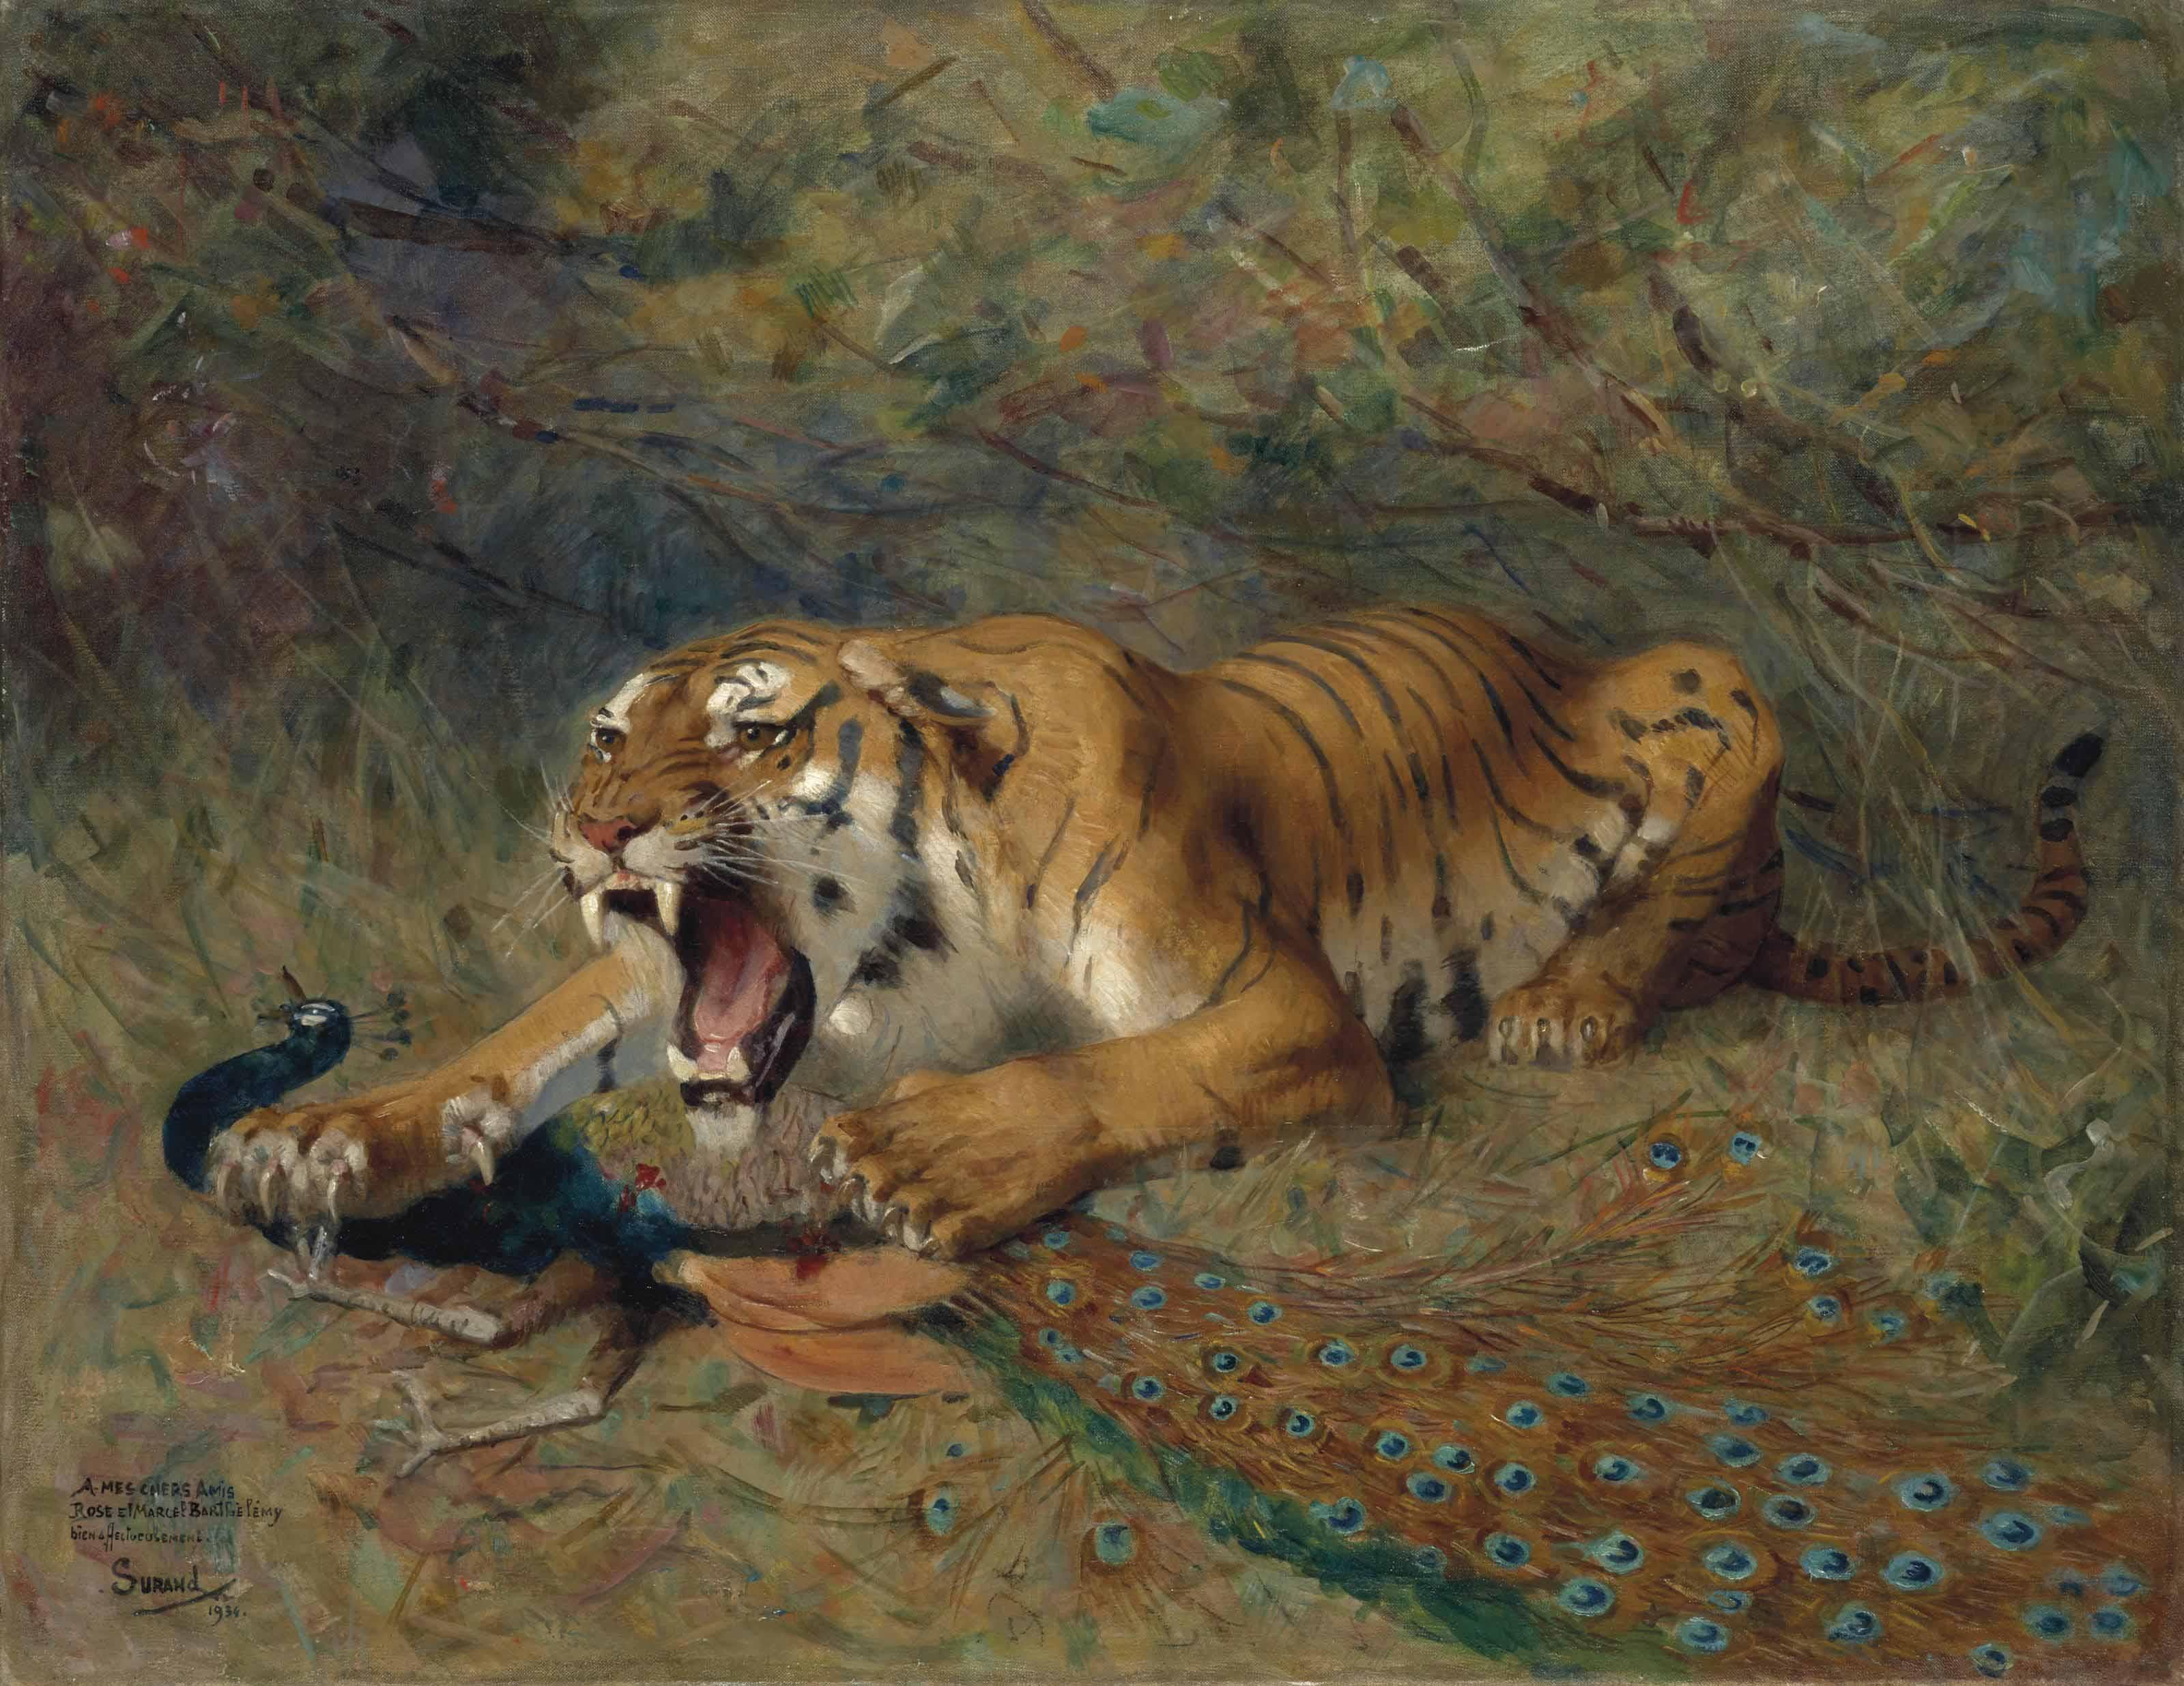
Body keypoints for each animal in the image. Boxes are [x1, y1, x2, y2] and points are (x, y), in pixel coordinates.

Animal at [206, 604, 2103, 1260]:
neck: (901, 963)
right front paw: (322, 1136)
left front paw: (941, 1154)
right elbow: (519, 1034)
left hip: (1706, 687)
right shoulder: (651, 976)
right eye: (609, 735)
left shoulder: (1282, 1007)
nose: (595, 828)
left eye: (751, 726)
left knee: (1691, 907)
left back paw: (1571, 996)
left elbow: (1115, 1078)